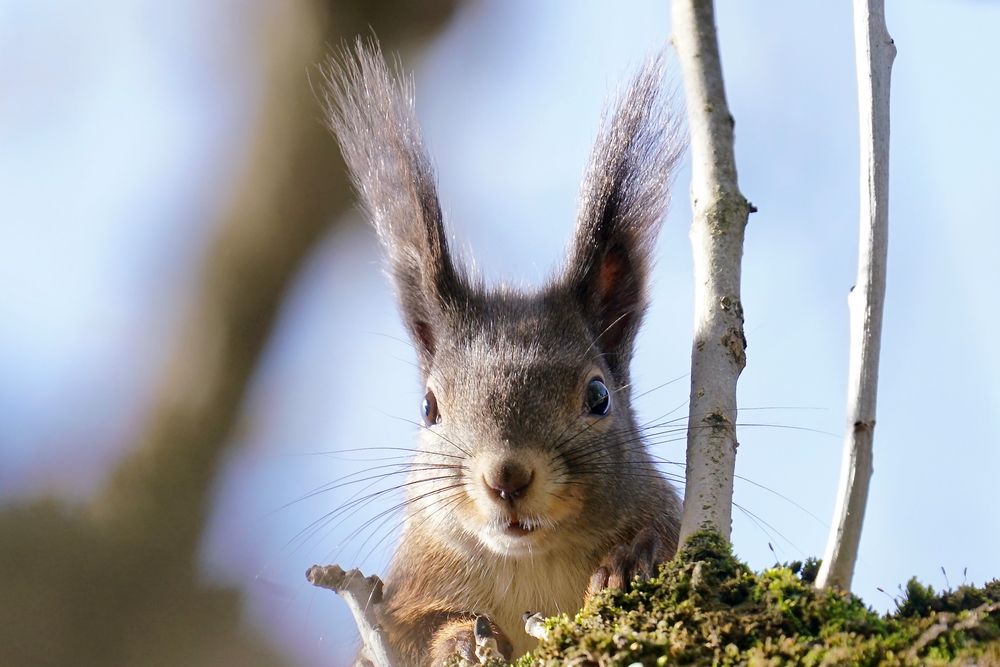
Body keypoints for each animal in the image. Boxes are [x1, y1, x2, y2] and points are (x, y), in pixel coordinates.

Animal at [324, 40, 684, 664]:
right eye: (428, 408)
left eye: (599, 396)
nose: (507, 476)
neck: (531, 563)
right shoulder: (402, 599)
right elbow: (415, 632)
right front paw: (461, 641)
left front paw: (631, 558)